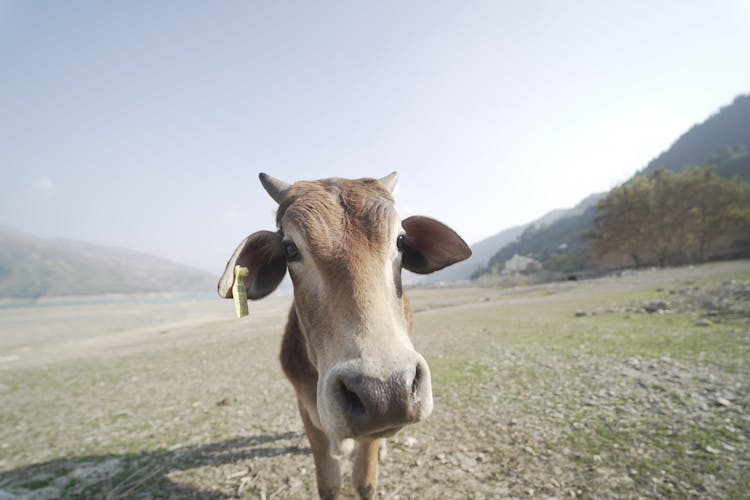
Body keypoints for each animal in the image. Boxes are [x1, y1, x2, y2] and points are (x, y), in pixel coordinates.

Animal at [217, 173, 470, 500]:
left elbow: (364, 481)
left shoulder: (373, 428)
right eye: (290, 249)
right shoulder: (306, 407)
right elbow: (329, 482)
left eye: (400, 240)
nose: (386, 392)